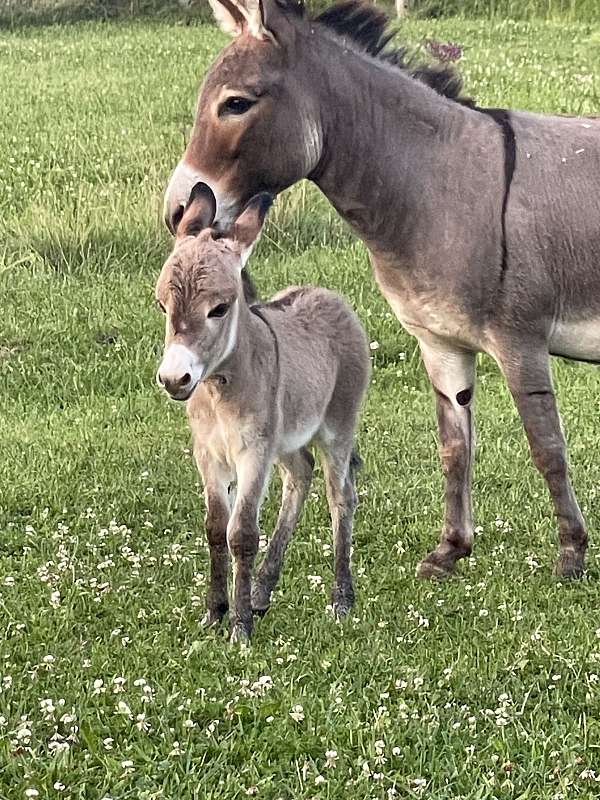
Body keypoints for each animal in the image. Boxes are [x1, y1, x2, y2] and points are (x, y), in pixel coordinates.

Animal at [155, 183, 370, 644]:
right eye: (162, 306)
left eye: (219, 309)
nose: (174, 379)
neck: (219, 388)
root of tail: (327, 294)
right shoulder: (209, 453)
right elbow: (215, 527)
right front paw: (216, 611)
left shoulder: (253, 453)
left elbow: (242, 534)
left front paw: (239, 628)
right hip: (286, 438)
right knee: (301, 474)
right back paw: (262, 592)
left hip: (337, 427)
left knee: (341, 496)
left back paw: (341, 597)